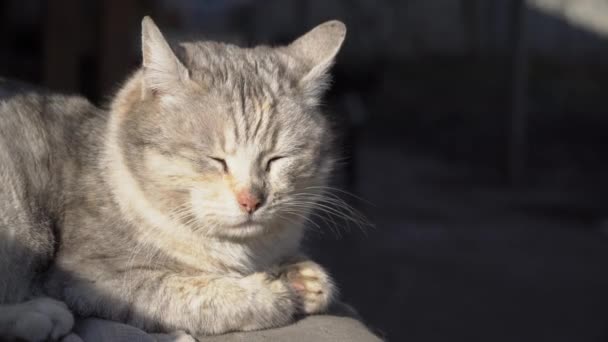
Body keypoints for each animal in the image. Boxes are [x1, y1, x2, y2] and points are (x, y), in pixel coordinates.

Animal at [0, 17, 346, 340]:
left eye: (276, 159)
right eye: (216, 160)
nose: (251, 200)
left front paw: (303, 275)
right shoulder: (91, 276)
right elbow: (190, 293)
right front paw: (270, 292)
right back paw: (40, 316)